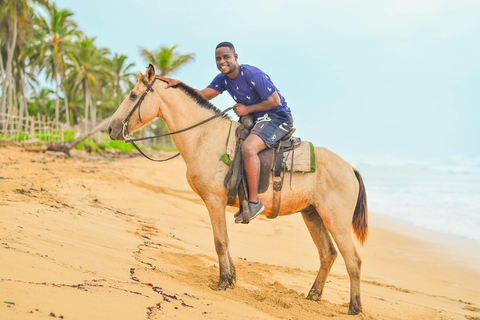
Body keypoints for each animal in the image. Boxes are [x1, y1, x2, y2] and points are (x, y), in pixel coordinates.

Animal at [108, 65, 368, 316]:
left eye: (133, 96)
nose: (111, 128)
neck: (205, 137)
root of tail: (351, 169)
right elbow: (226, 241)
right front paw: (231, 278)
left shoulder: (214, 201)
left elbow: (220, 242)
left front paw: (223, 281)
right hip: (313, 215)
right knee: (327, 254)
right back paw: (313, 295)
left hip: (335, 220)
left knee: (353, 261)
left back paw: (354, 308)